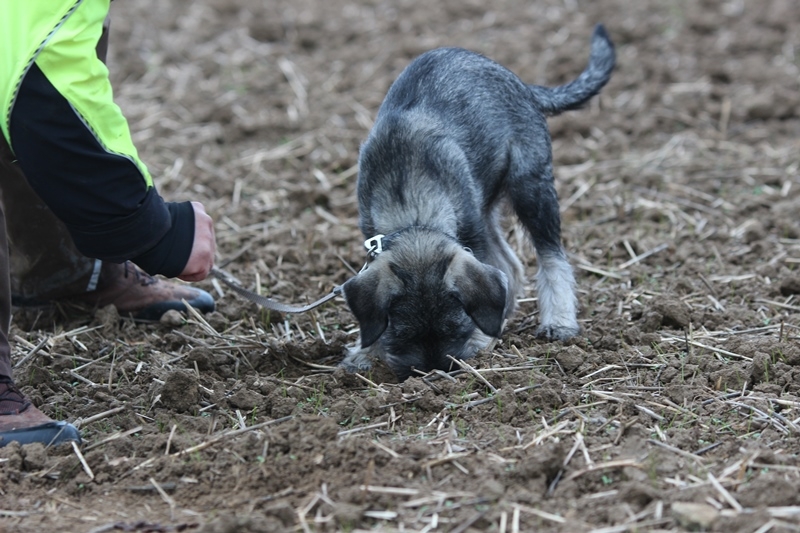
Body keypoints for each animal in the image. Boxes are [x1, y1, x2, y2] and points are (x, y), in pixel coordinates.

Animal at [340, 25, 616, 378]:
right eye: (401, 335)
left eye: (454, 328)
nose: (433, 372)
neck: (411, 203)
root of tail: (521, 84)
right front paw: (364, 352)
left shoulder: (471, 235)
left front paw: (481, 338)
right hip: (486, 206)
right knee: (509, 267)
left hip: (531, 189)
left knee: (551, 256)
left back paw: (558, 321)